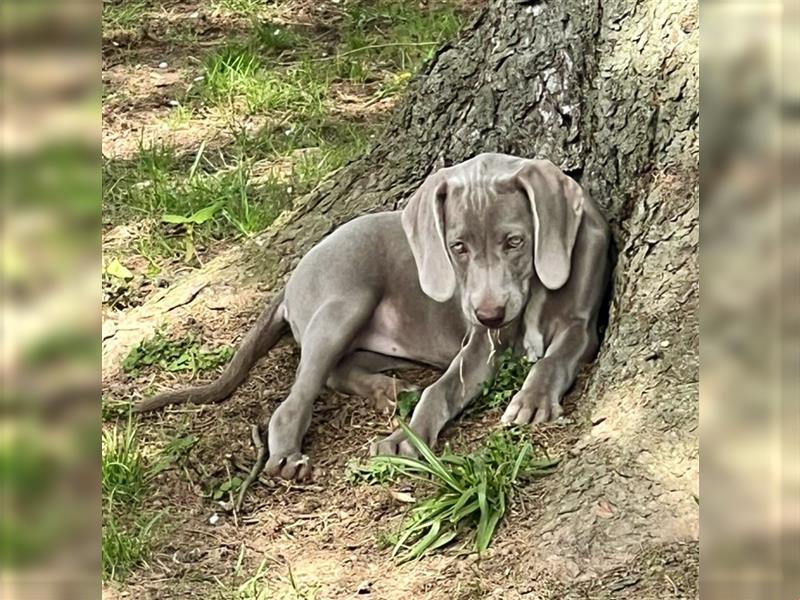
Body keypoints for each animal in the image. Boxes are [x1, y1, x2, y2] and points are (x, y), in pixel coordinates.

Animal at [139, 152, 612, 480]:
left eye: (515, 241)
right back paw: (290, 451)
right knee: (300, 393)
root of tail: (292, 278)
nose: (489, 313)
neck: (535, 289)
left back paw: (389, 389)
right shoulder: (480, 343)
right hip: (344, 304)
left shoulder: (581, 328)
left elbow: (553, 359)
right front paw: (407, 439)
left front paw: (533, 400)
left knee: (340, 371)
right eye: (457, 247)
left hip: (384, 341)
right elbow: (440, 390)